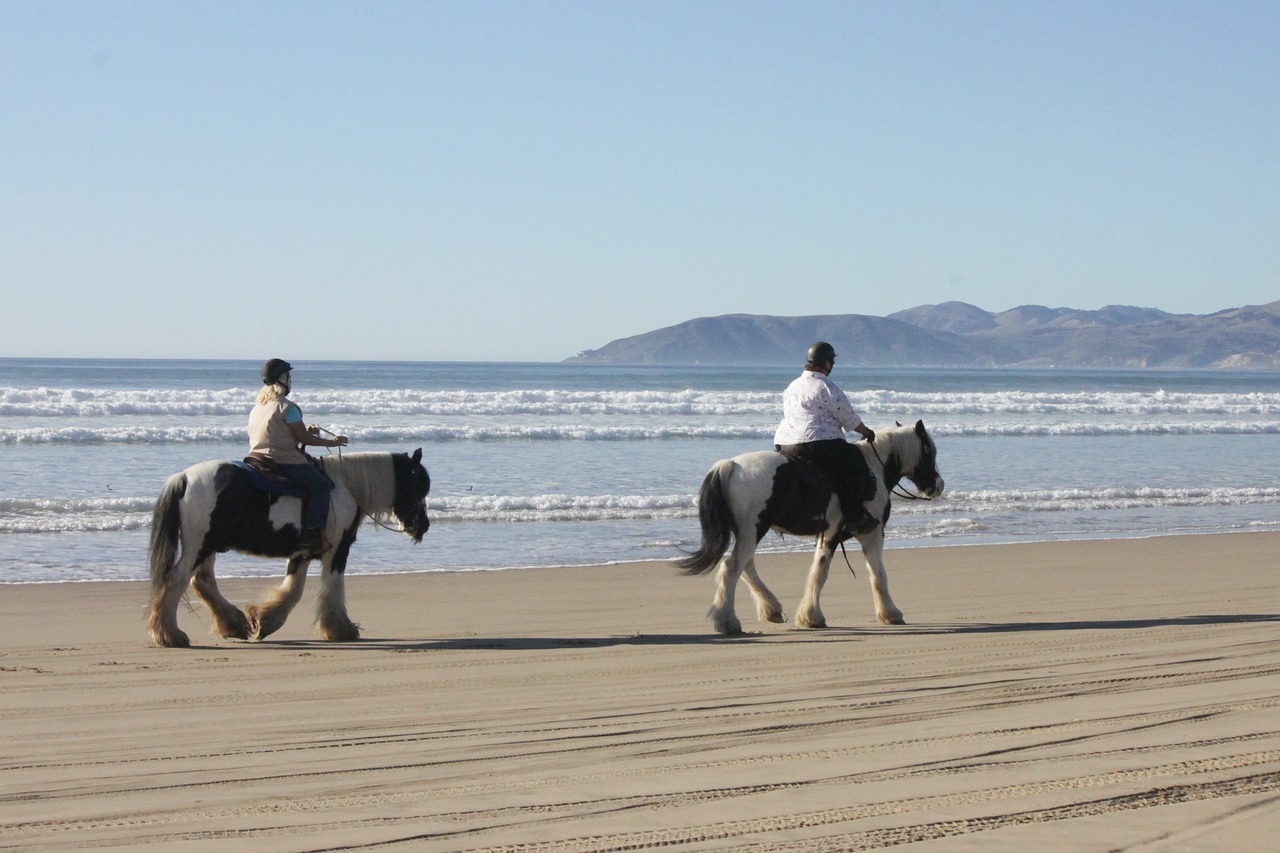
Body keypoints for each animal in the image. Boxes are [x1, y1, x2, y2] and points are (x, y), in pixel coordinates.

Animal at [147, 450, 432, 645]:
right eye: (418, 487)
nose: (424, 526)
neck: (346, 486)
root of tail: (183, 478)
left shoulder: (302, 553)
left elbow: (293, 590)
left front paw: (264, 622)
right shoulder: (337, 551)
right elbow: (332, 587)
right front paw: (341, 629)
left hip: (208, 547)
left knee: (203, 582)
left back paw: (233, 624)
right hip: (199, 547)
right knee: (178, 580)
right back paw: (170, 635)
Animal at [680, 422, 942, 635]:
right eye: (929, 451)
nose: (938, 486)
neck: (874, 468)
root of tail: (732, 465)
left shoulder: (829, 535)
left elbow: (819, 570)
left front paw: (809, 616)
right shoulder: (870, 534)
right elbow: (874, 574)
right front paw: (890, 613)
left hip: (749, 533)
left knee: (745, 567)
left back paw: (771, 609)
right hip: (752, 531)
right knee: (732, 568)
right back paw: (727, 622)